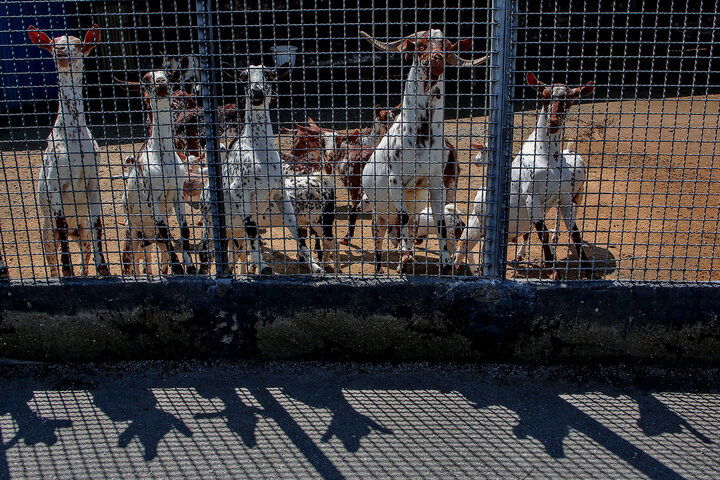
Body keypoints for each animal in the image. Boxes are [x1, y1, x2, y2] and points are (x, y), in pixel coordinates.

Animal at [28, 24, 108, 278]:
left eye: (78, 44)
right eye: (54, 43)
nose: (62, 52)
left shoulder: (92, 179)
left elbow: (97, 223)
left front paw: (104, 269)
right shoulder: (54, 182)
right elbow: (61, 224)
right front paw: (67, 270)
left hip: (81, 231)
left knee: (85, 251)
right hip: (46, 233)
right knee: (52, 254)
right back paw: (59, 273)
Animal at [117, 69, 197, 276]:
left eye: (169, 76)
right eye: (146, 80)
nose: (161, 84)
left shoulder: (177, 193)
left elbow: (184, 230)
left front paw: (191, 267)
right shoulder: (151, 197)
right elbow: (165, 230)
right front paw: (179, 269)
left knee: (155, 253)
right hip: (132, 235)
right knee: (130, 261)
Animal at [358, 30, 484, 274]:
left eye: (446, 46)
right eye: (420, 45)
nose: (437, 58)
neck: (421, 135)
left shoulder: (436, 180)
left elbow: (440, 221)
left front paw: (445, 260)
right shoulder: (395, 179)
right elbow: (403, 217)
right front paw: (406, 255)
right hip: (379, 214)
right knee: (381, 238)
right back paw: (384, 265)